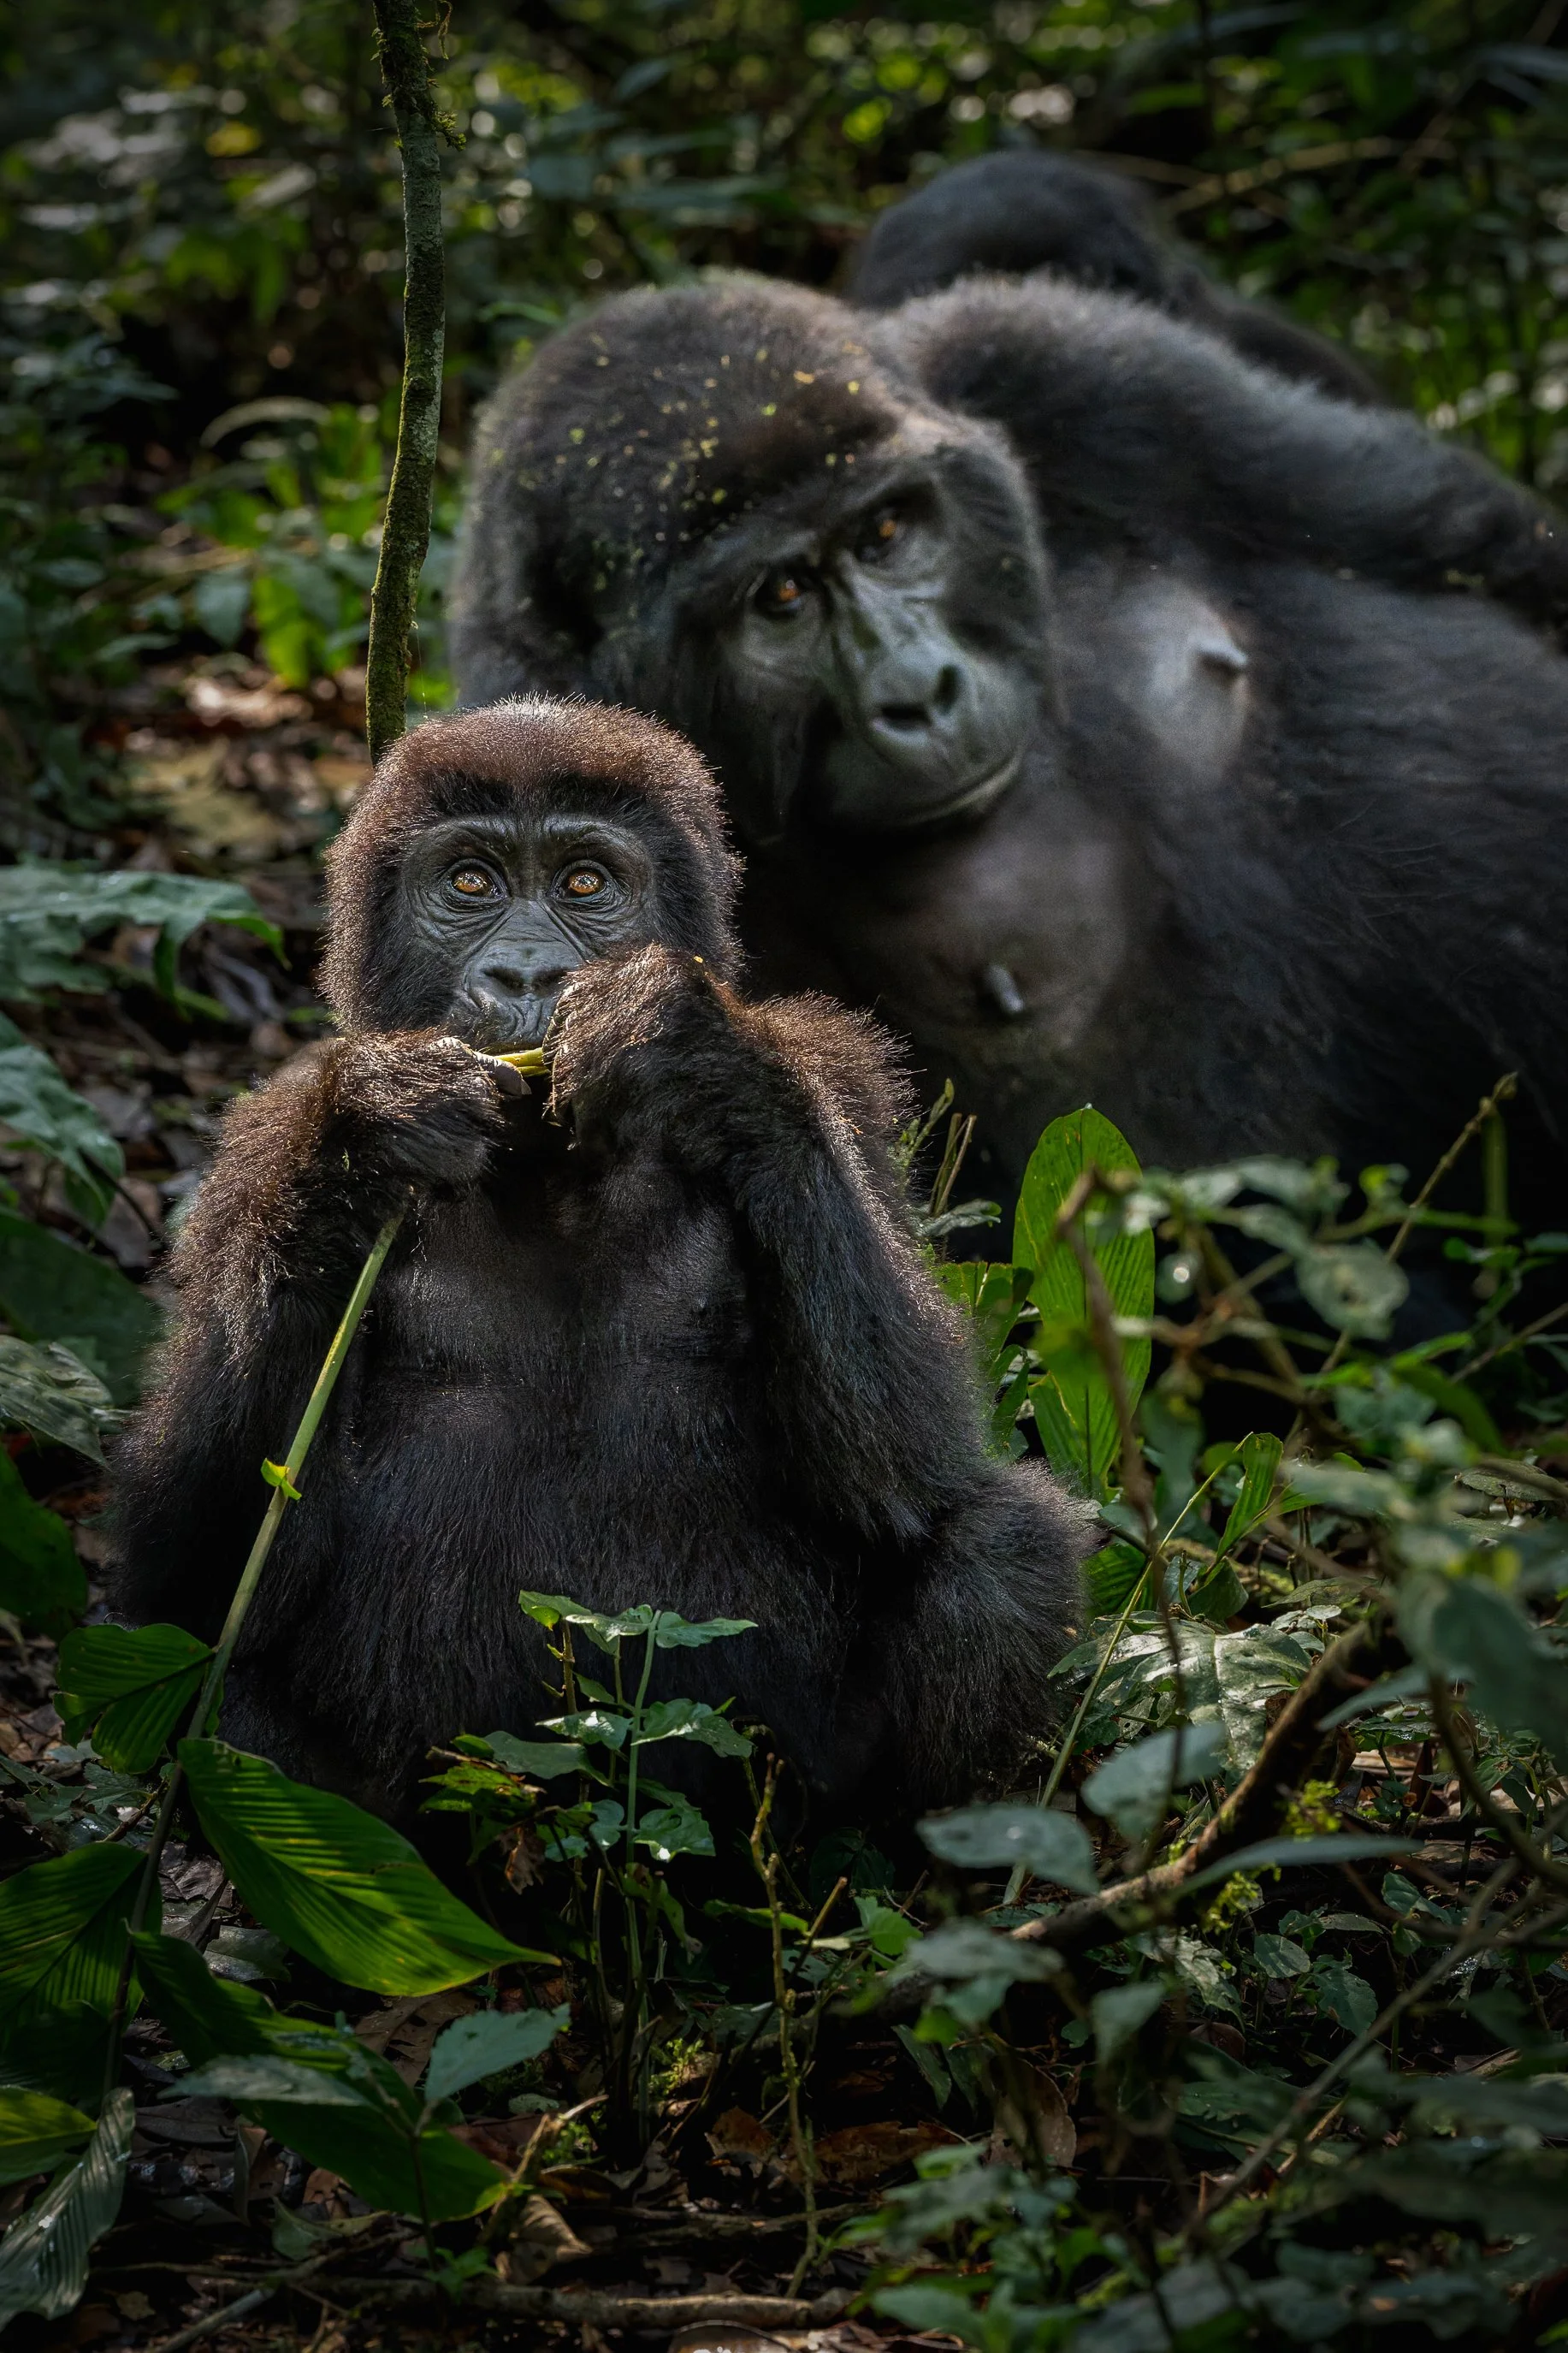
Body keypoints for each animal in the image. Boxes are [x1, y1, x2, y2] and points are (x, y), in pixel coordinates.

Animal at [110, 698, 1092, 1822]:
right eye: (471, 884)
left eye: (585, 883)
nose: (530, 974)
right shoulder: (253, 1150)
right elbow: (200, 1578)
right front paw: (371, 1124)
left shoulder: (839, 1072)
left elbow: (906, 1475)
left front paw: (689, 1047)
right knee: (216, 1704)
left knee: (999, 1544)